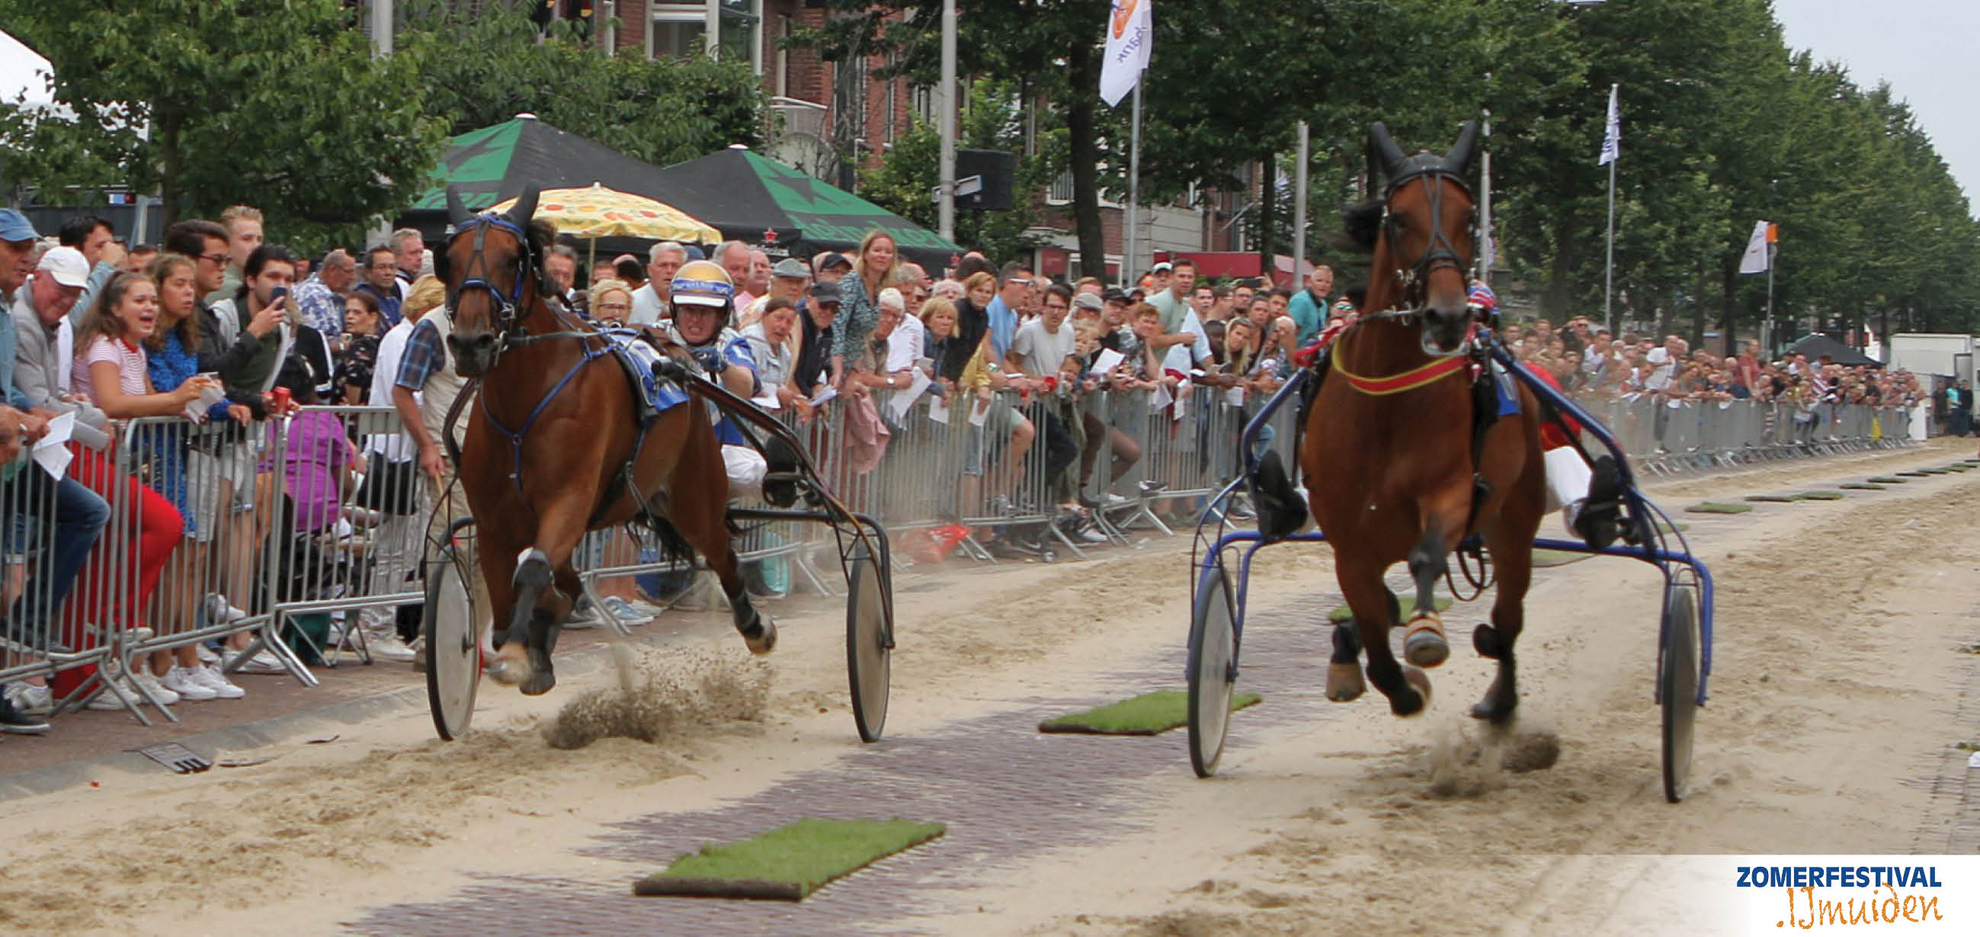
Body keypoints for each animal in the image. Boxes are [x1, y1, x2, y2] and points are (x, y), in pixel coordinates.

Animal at [439, 184, 772, 693]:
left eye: (513, 258)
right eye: (450, 259)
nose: (469, 343)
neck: (524, 405)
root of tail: (675, 355)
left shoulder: (569, 497)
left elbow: (532, 569)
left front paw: (517, 652)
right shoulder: (495, 518)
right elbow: (508, 593)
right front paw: (526, 642)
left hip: (695, 494)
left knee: (722, 553)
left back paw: (755, 626)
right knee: (570, 581)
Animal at [1306, 124, 1552, 721]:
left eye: (1471, 218)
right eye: (1398, 218)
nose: (1449, 316)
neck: (1384, 411)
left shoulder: (1452, 490)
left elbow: (1425, 557)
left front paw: (1424, 633)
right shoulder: (1348, 540)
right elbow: (1371, 621)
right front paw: (1383, 674)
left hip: (1515, 519)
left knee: (1509, 614)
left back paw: (1500, 694)